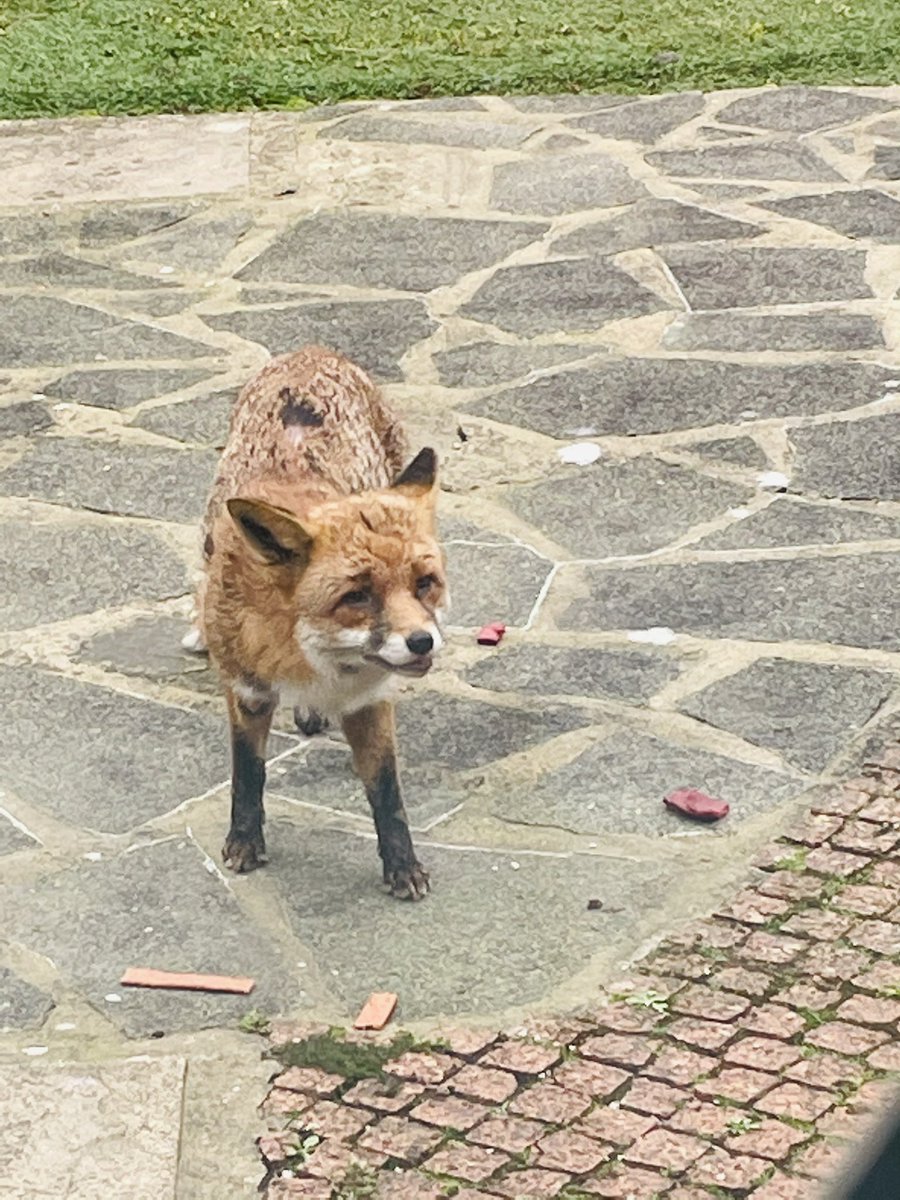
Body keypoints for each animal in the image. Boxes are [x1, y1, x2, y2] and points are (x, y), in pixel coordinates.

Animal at [192, 345, 447, 900]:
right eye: (357, 595)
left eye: (425, 584)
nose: (422, 642)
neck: (315, 659)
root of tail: (310, 352)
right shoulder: (247, 691)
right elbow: (248, 774)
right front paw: (244, 843)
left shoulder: (370, 700)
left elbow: (387, 792)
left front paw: (402, 866)